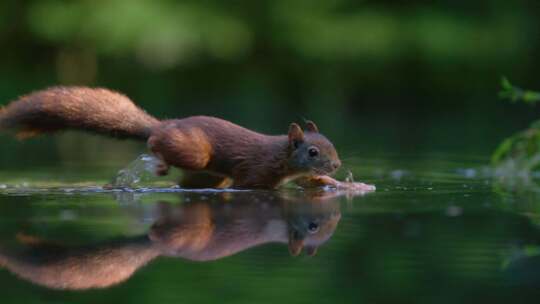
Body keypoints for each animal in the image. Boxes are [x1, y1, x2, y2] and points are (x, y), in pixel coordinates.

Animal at [0, 85, 376, 190]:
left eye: (332, 146)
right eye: (312, 151)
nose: (336, 164)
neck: (283, 158)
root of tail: (163, 125)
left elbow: (314, 185)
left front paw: (349, 185)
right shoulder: (256, 174)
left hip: (205, 174)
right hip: (194, 152)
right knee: (157, 146)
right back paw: (158, 161)